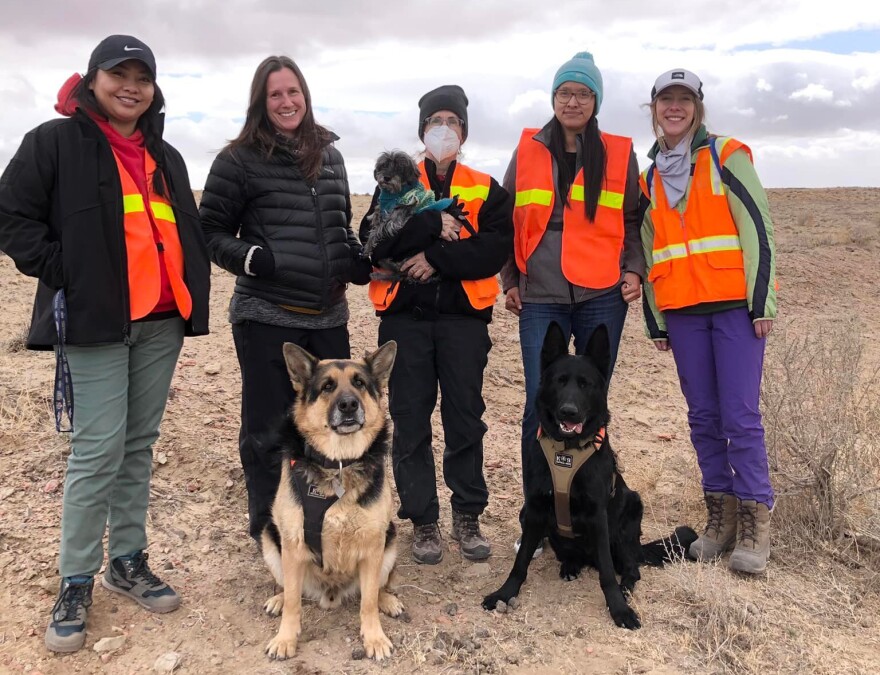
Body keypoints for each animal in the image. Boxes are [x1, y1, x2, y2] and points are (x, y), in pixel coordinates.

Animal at [364, 151, 458, 282]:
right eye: (383, 165)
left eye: (399, 168)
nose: (387, 177)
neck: (394, 193)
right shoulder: (383, 207)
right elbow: (377, 216)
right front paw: (374, 219)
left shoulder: (396, 219)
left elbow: (378, 230)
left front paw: (368, 246)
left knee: (401, 272)